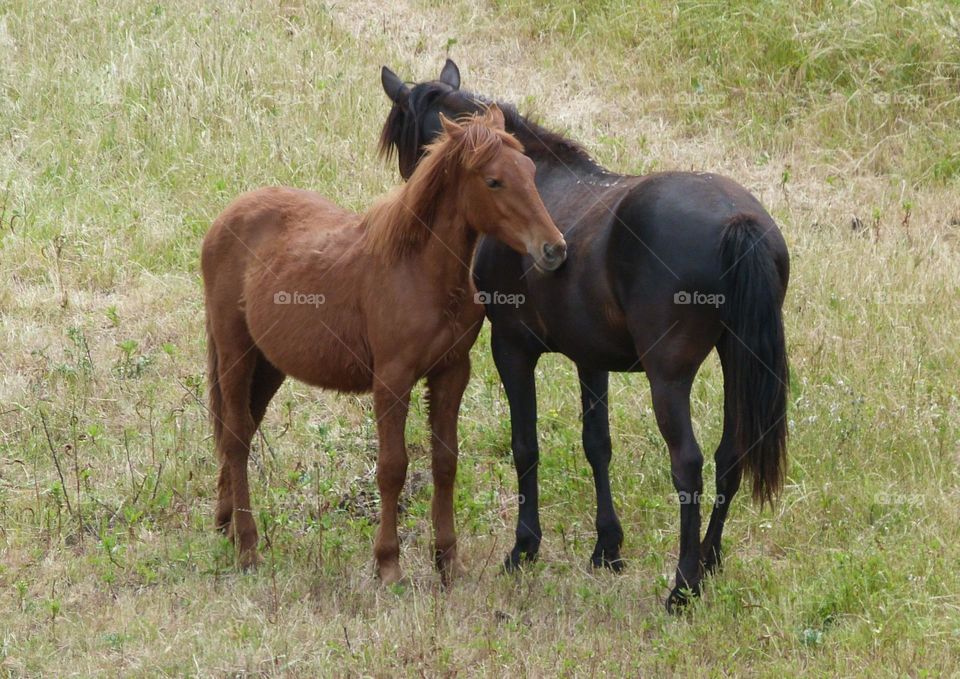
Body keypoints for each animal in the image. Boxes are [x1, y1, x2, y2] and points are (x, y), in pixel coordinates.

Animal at [202, 106, 567, 583]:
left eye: (529, 171)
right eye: (493, 181)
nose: (554, 249)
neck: (419, 272)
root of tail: (225, 219)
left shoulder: (451, 372)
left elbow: (445, 462)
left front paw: (448, 561)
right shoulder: (391, 380)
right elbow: (393, 468)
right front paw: (388, 564)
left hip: (268, 365)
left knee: (238, 431)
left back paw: (226, 525)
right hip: (236, 354)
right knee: (236, 439)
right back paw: (247, 546)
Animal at [378, 60, 789, 611]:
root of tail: (737, 219)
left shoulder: (511, 348)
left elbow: (525, 445)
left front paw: (524, 548)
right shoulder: (590, 357)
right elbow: (597, 444)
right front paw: (607, 548)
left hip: (669, 376)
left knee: (689, 464)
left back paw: (683, 584)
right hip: (736, 357)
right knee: (730, 457)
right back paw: (708, 560)